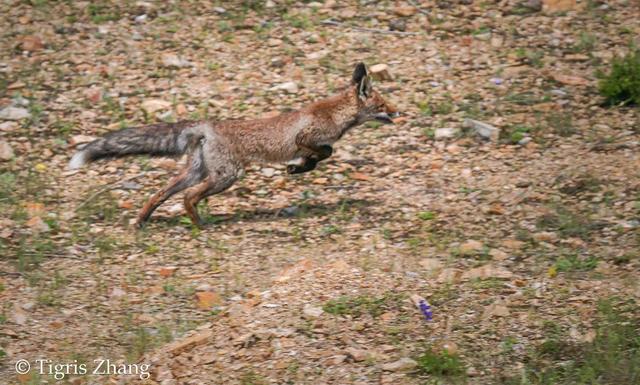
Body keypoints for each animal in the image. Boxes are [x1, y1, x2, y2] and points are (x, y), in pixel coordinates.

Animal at [70, 61, 400, 226]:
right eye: (383, 104)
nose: (399, 112)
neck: (336, 114)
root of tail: (208, 124)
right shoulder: (305, 137)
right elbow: (326, 152)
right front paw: (299, 167)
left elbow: (320, 156)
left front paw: (298, 168)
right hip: (226, 175)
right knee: (188, 197)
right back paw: (200, 225)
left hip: (198, 172)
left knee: (160, 193)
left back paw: (142, 221)